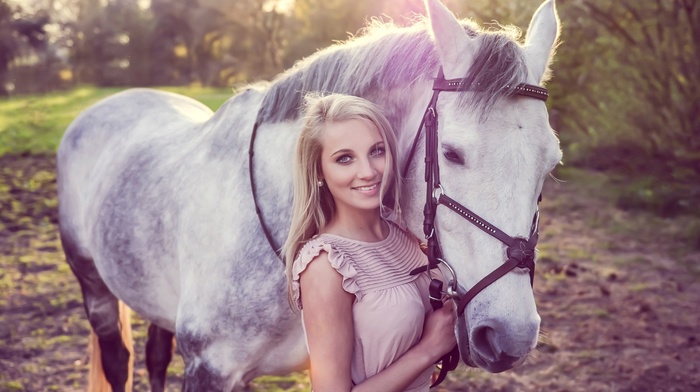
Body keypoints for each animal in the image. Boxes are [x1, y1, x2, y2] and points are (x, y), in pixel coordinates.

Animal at [58, 1, 564, 390]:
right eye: (452, 153)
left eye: (551, 163)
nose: (510, 336)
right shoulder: (210, 369)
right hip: (93, 285)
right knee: (117, 359)